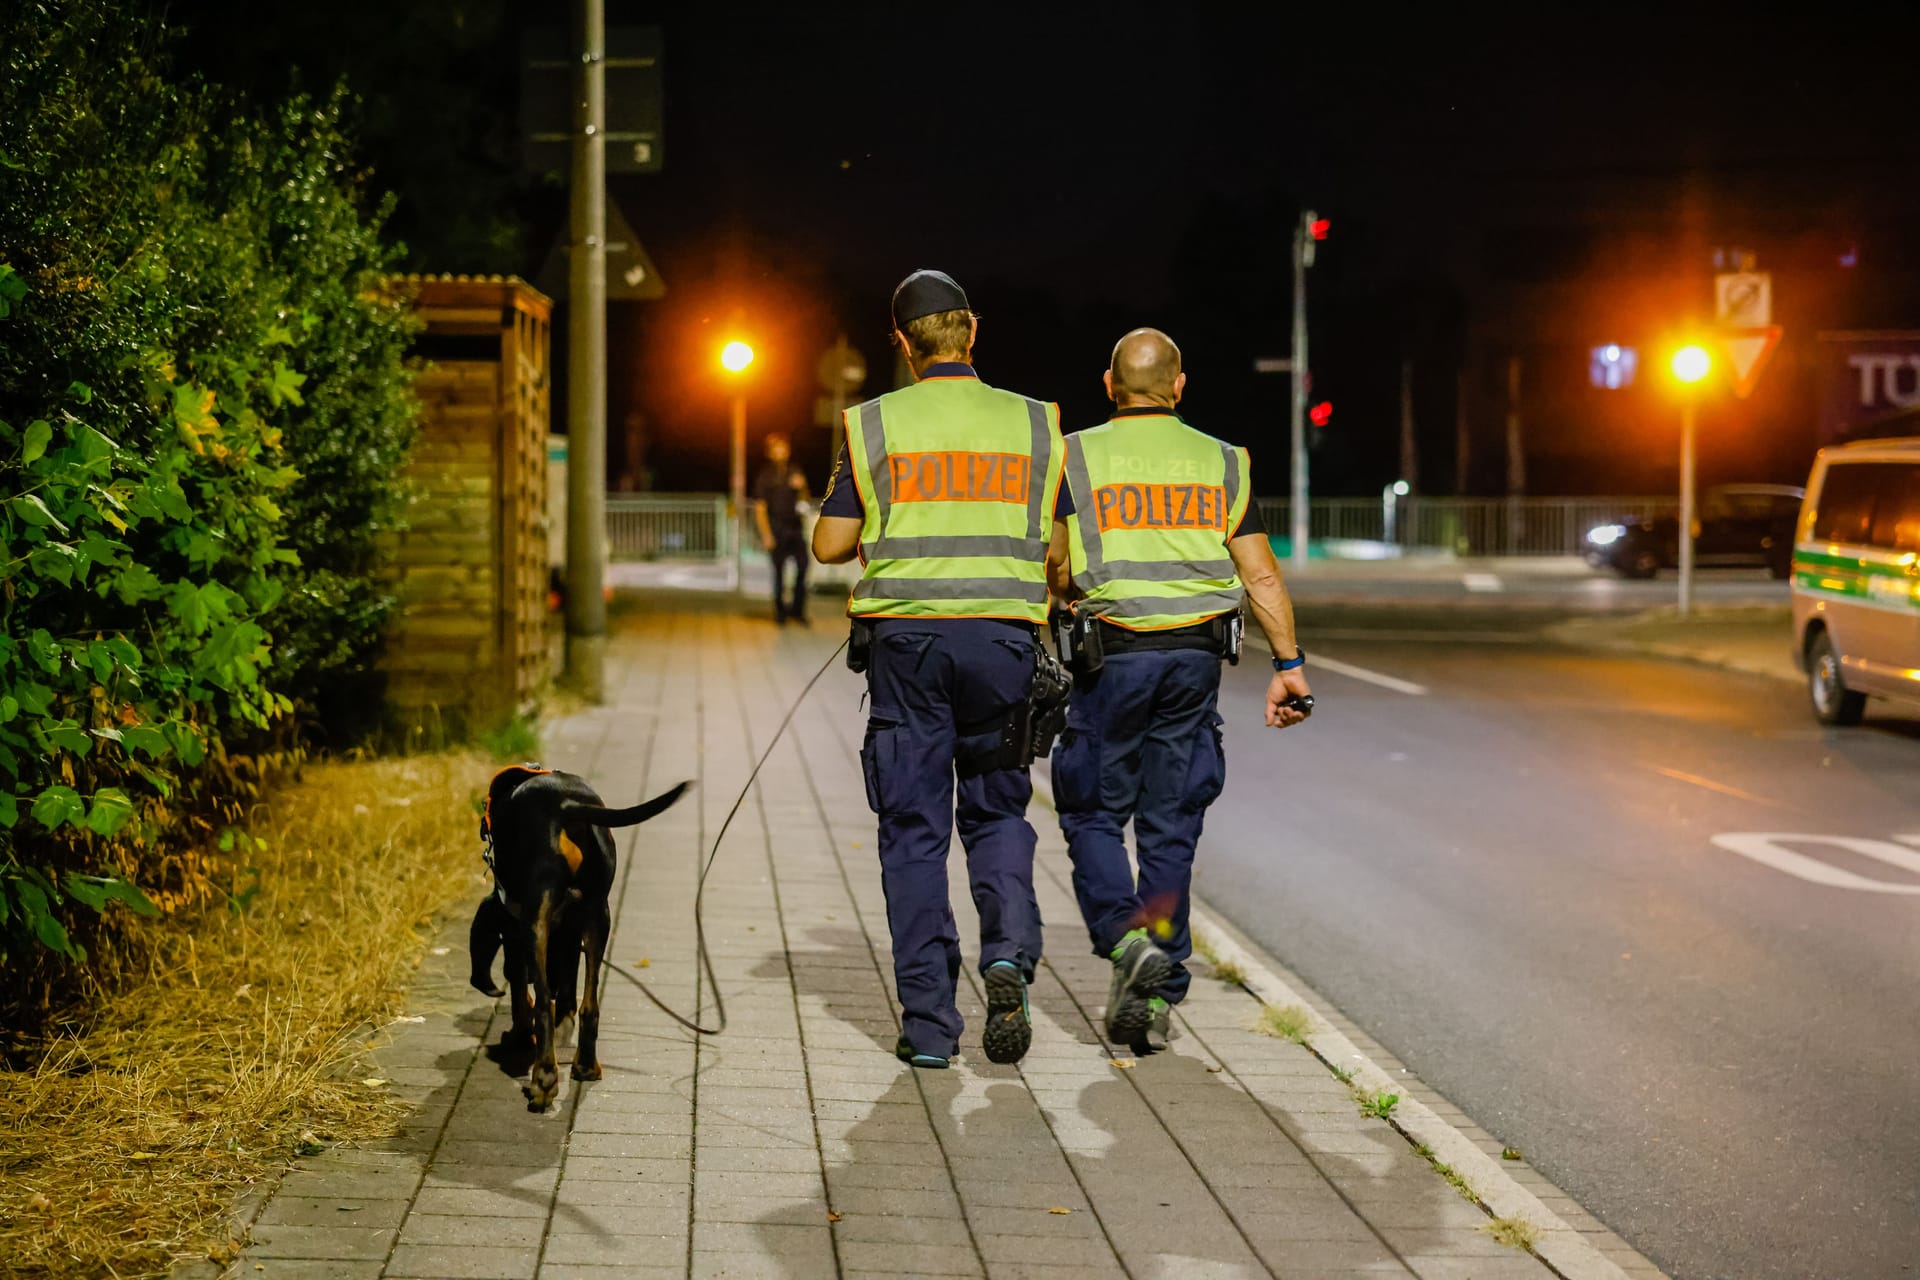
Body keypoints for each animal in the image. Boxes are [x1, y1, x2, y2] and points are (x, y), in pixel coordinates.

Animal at [478, 759, 691, 1113]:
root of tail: (566, 806)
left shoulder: (513, 925)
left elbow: (521, 990)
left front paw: (519, 1036)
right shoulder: (571, 931)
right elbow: (567, 992)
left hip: (535, 920)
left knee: (542, 1006)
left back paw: (543, 1080)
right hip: (598, 916)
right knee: (589, 1006)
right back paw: (586, 1066)